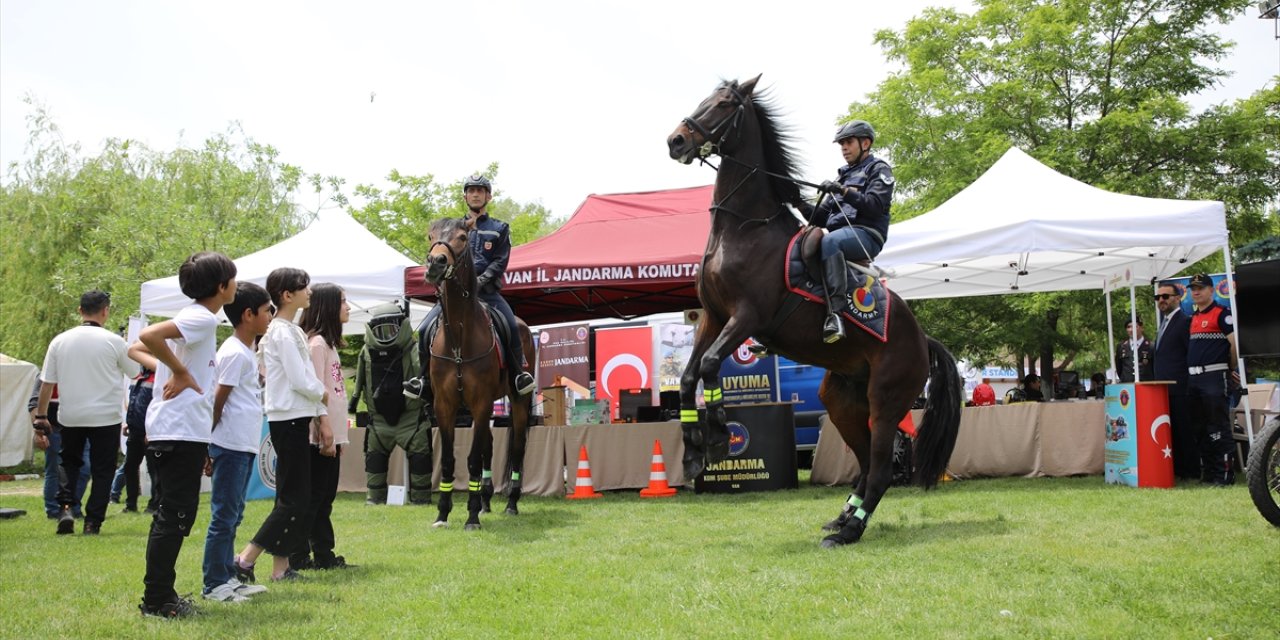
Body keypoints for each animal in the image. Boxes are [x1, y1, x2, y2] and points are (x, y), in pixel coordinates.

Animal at [424, 216, 535, 529]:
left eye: (462, 237)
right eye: (430, 236)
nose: (435, 262)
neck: (460, 336)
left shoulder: (481, 402)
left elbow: (472, 459)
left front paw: (471, 516)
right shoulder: (445, 406)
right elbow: (449, 459)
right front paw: (443, 513)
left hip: (518, 401)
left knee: (517, 448)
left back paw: (510, 504)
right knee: (489, 448)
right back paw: (485, 502)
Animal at [670, 74, 962, 545]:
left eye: (724, 104)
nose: (676, 140)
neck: (744, 228)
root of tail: (922, 339)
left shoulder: (747, 317)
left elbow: (712, 365)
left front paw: (716, 434)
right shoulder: (713, 317)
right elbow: (688, 376)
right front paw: (694, 452)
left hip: (886, 402)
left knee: (882, 470)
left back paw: (849, 532)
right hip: (841, 402)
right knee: (865, 466)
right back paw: (842, 519)